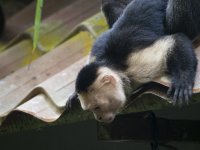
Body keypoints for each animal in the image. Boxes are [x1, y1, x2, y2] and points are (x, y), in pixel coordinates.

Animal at [68, 0, 199, 123]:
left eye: (97, 107)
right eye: (90, 110)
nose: (98, 118)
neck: (111, 63)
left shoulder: (137, 66)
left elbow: (175, 39)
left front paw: (182, 79)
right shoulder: (96, 55)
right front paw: (73, 95)